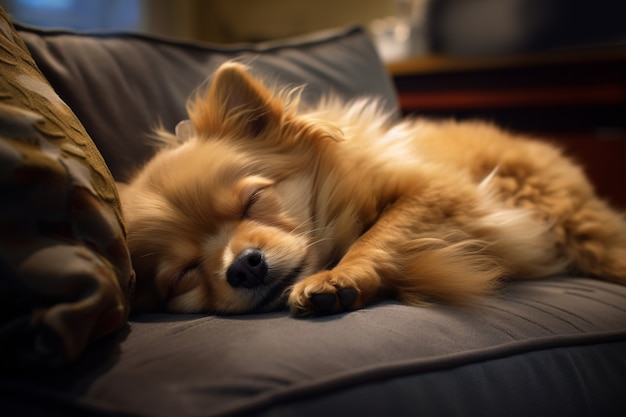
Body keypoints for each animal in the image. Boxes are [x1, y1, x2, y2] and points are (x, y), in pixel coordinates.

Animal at [119, 62, 624, 316]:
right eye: (184, 274)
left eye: (254, 201)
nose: (243, 266)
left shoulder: (439, 193)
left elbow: (378, 235)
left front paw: (340, 276)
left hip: (576, 221)